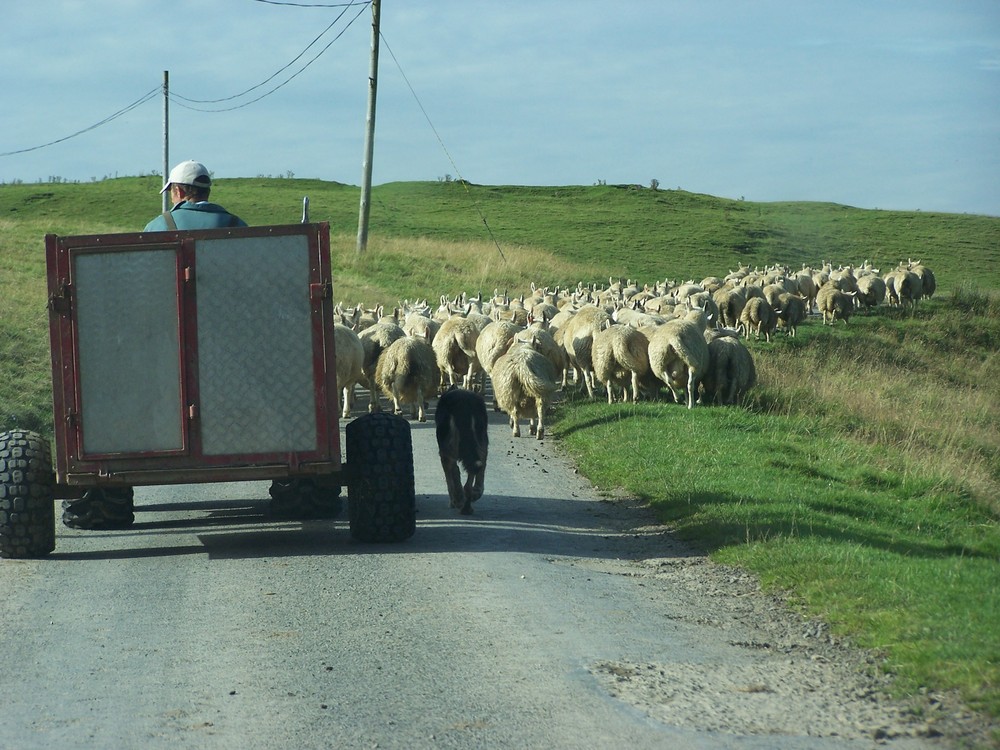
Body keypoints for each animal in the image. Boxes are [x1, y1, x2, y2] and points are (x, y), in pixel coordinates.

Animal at [434, 388, 488, 516]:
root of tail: (463, 405)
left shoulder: (444, 455)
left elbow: (450, 479)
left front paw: (454, 501)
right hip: (482, 444)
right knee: (475, 473)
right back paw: (468, 504)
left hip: (448, 450)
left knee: (456, 471)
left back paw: (459, 501)